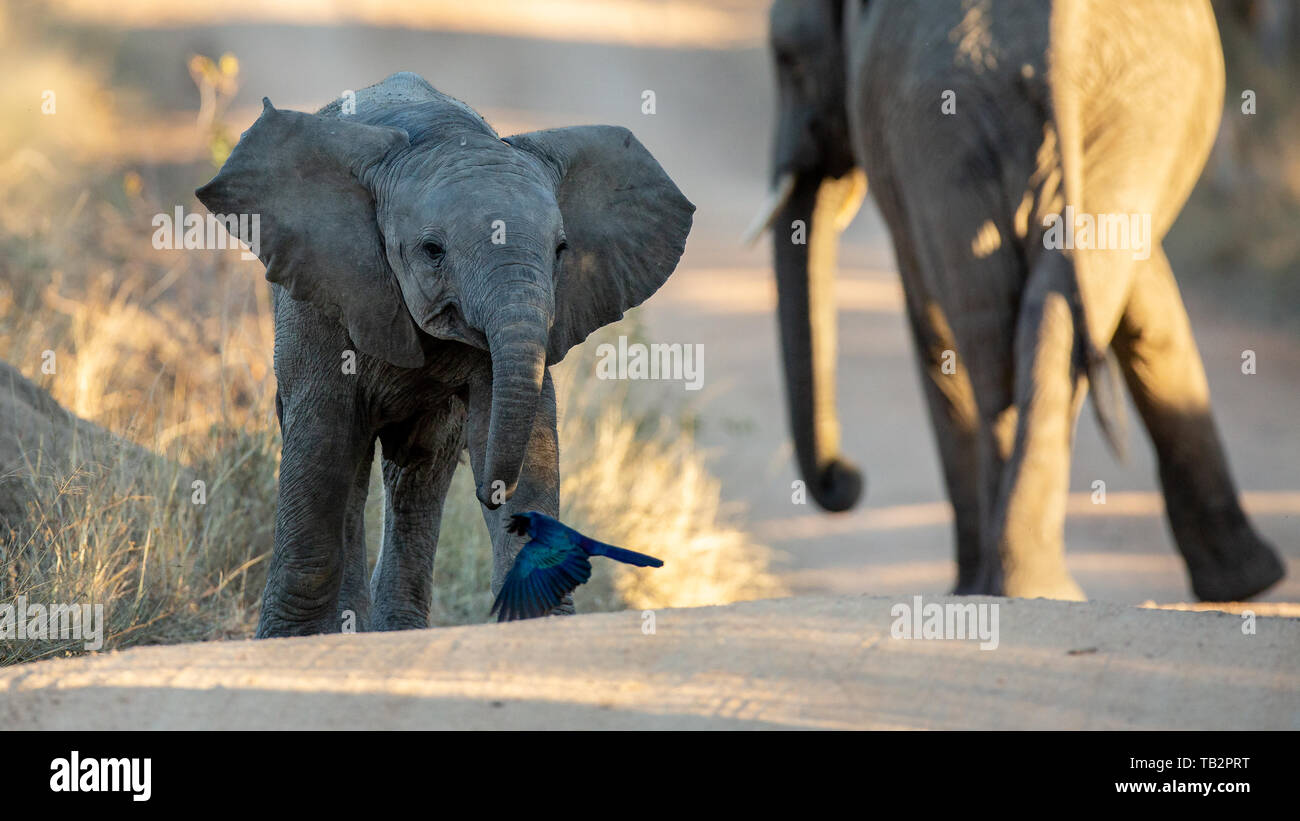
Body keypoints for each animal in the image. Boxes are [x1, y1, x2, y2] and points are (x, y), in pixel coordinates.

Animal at [193, 72, 696, 633]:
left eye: (562, 250)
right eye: (433, 251)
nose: (488, 493)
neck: (444, 135)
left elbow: (520, 434)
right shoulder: (320, 295)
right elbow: (322, 440)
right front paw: (290, 640)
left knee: (417, 472)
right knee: (350, 464)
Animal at [748, 1, 1284, 602]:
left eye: (788, 60)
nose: (846, 477)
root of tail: (1056, 50)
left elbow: (928, 315)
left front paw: (1247, 584)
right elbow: (1138, 297)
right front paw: (1249, 584)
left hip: (980, 115)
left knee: (988, 334)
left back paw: (1004, 586)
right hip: (1105, 112)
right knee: (1021, 323)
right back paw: (1029, 586)